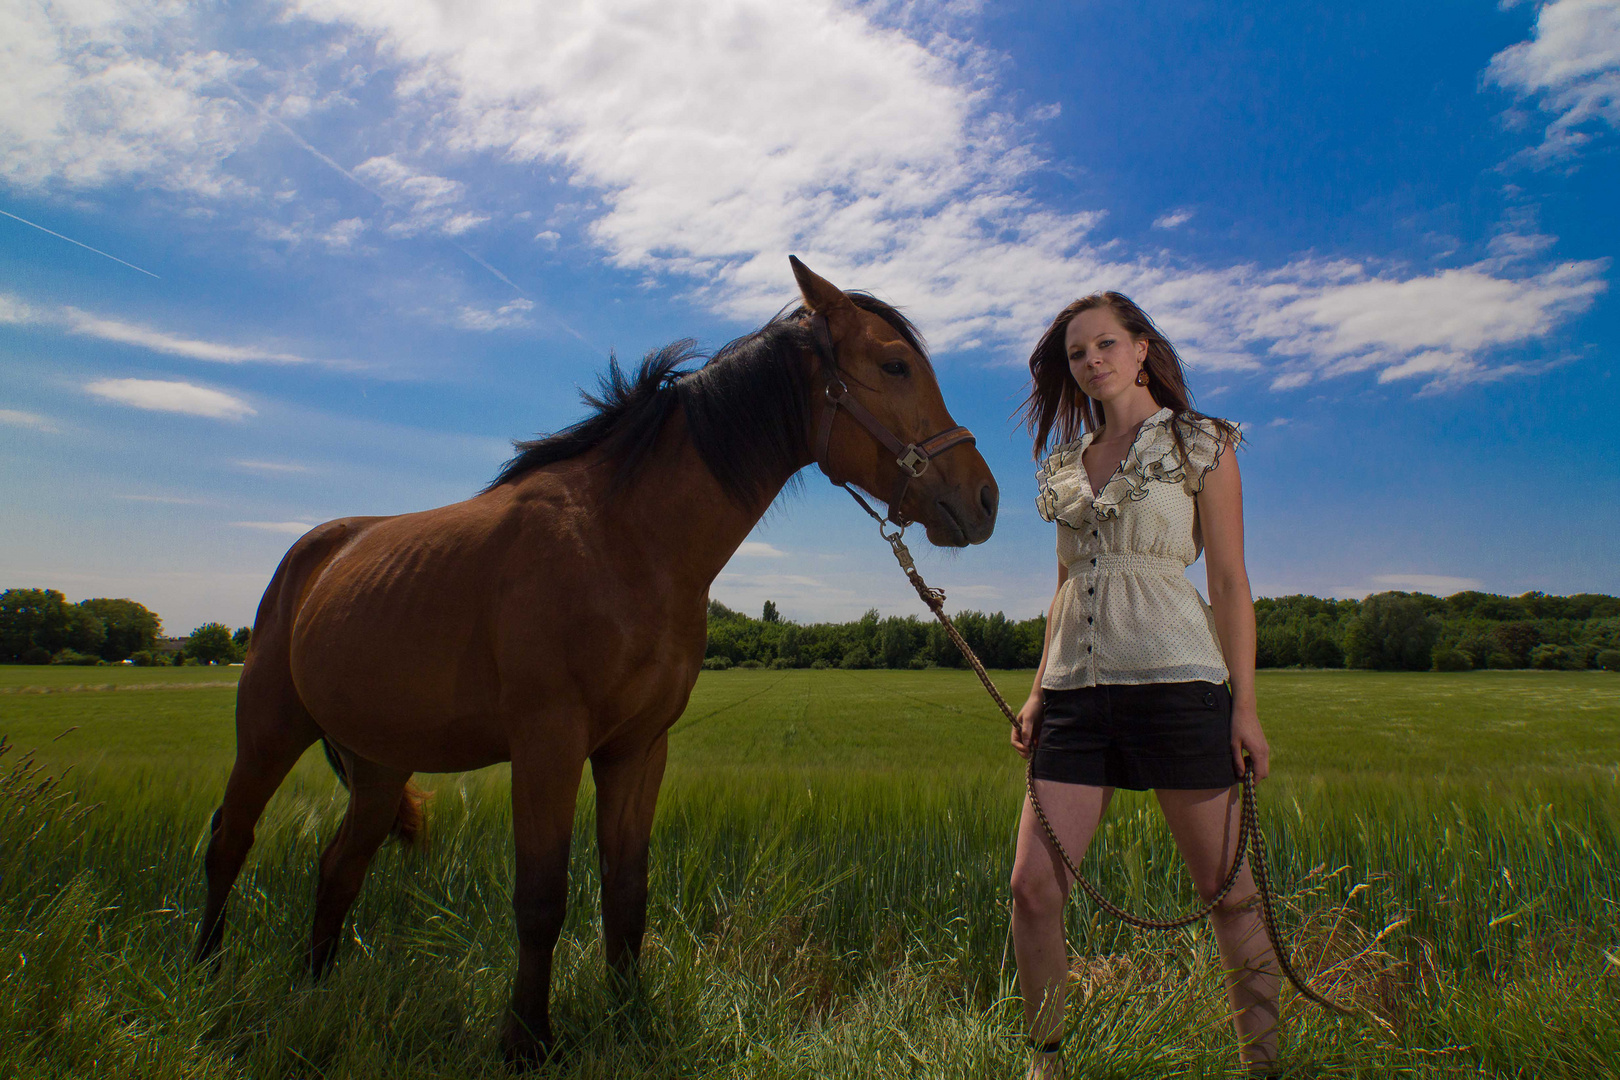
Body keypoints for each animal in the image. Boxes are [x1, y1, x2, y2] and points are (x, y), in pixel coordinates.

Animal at [191, 259, 997, 1062]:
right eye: (893, 364)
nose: (985, 498)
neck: (623, 541)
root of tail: (315, 554)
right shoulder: (547, 744)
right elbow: (541, 899)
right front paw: (525, 1039)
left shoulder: (637, 748)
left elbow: (626, 891)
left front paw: (628, 1014)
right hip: (268, 731)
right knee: (229, 843)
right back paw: (206, 979)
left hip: (380, 764)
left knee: (338, 868)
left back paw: (315, 987)